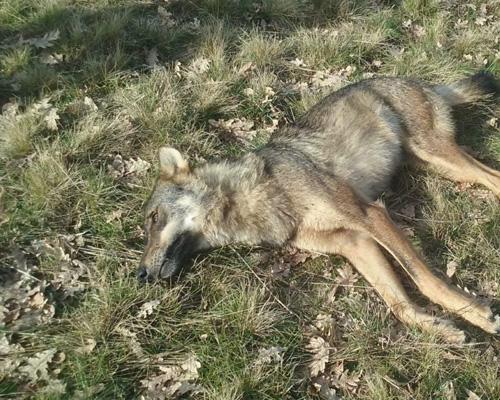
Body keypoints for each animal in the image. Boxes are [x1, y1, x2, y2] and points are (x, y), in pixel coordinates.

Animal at [137, 72, 500, 344]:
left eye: (153, 219)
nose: (139, 275)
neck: (252, 197)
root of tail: (419, 80)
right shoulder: (355, 243)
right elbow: (399, 305)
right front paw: (441, 329)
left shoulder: (371, 215)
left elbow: (423, 278)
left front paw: (475, 314)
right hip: (437, 166)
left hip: (438, 155)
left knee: (491, 177)